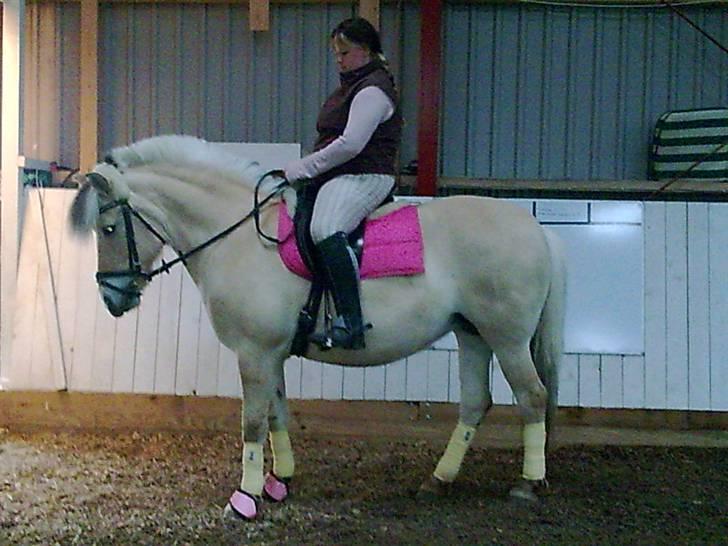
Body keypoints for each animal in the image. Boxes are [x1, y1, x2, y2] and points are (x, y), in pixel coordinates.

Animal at [68, 135, 568, 520]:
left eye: (108, 227)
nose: (112, 298)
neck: (241, 236)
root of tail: (535, 227)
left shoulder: (253, 352)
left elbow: (252, 421)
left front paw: (245, 498)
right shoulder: (270, 353)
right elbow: (276, 413)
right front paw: (278, 481)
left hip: (507, 338)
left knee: (532, 397)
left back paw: (528, 483)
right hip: (472, 334)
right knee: (475, 402)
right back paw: (439, 479)